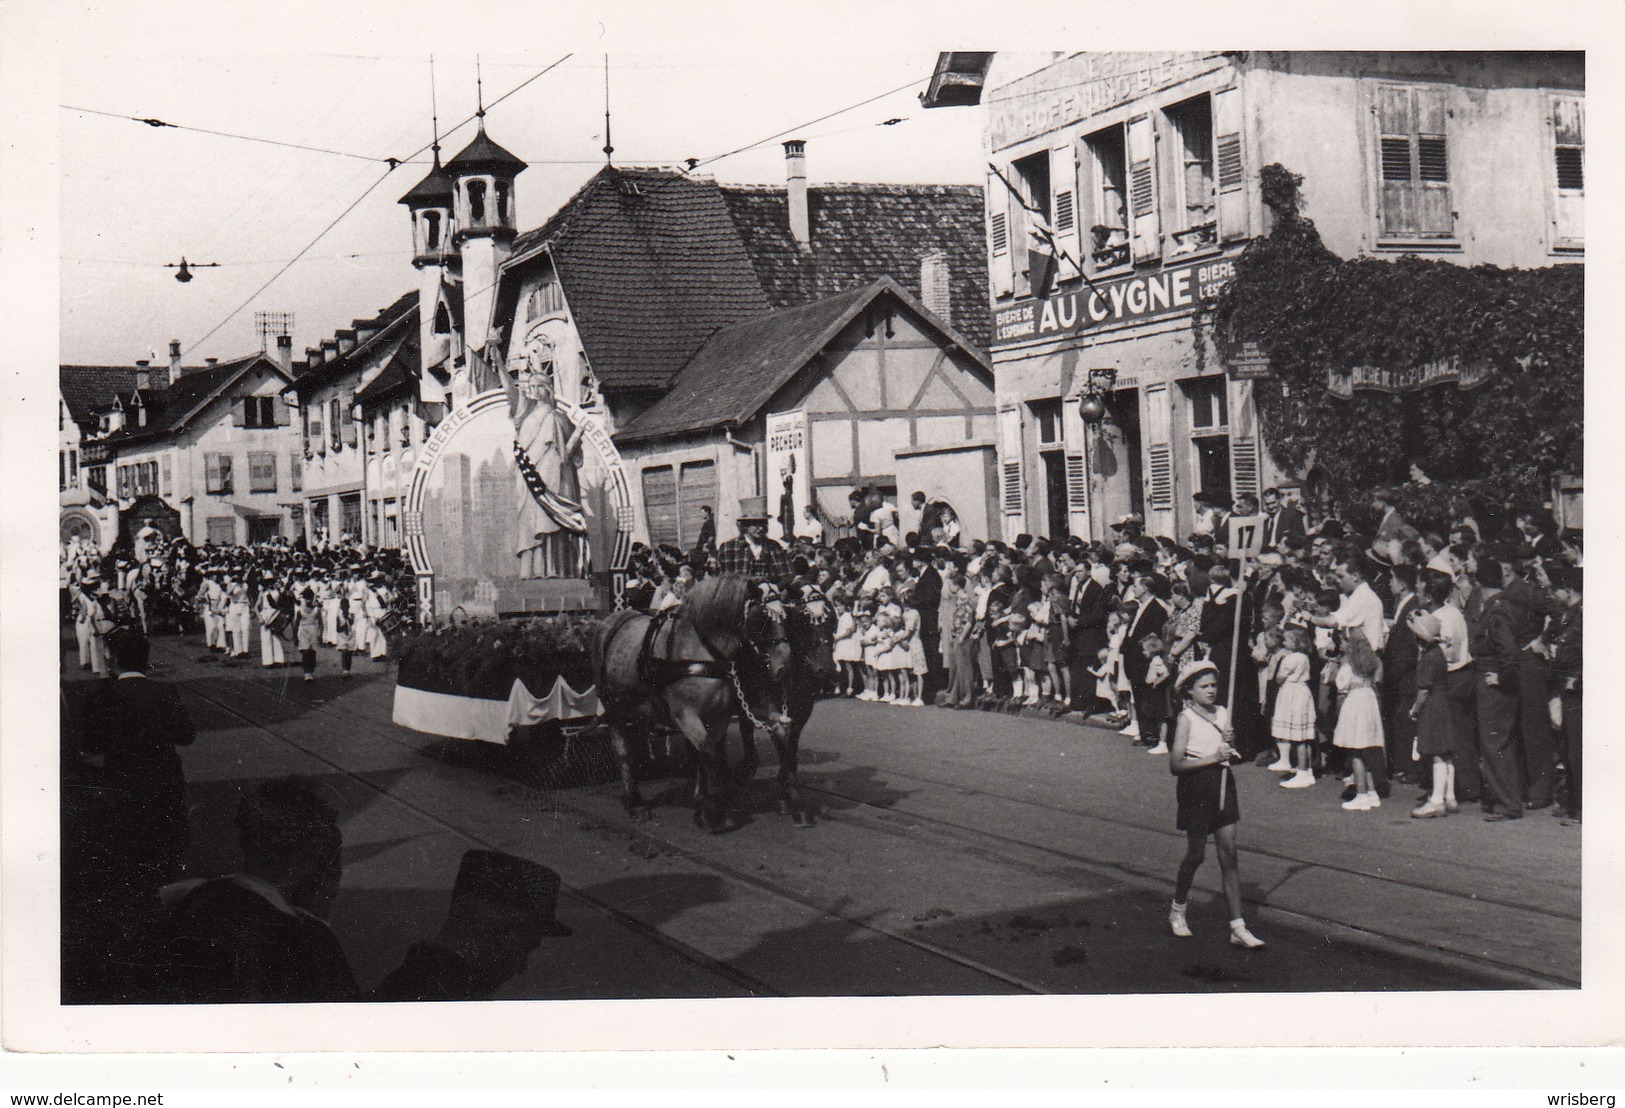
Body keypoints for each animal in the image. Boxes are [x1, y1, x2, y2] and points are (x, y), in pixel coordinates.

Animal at [598, 568, 799, 828]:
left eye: (786, 616)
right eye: (760, 618)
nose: (785, 666)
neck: (703, 653)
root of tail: (610, 621)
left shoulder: (719, 714)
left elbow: (708, 752)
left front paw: (708, 801)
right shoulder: (686, 714)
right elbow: (708, 751)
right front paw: (714, 810)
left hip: (639, 709)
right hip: (615, 709)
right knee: (624, 751)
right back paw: (635, 803)